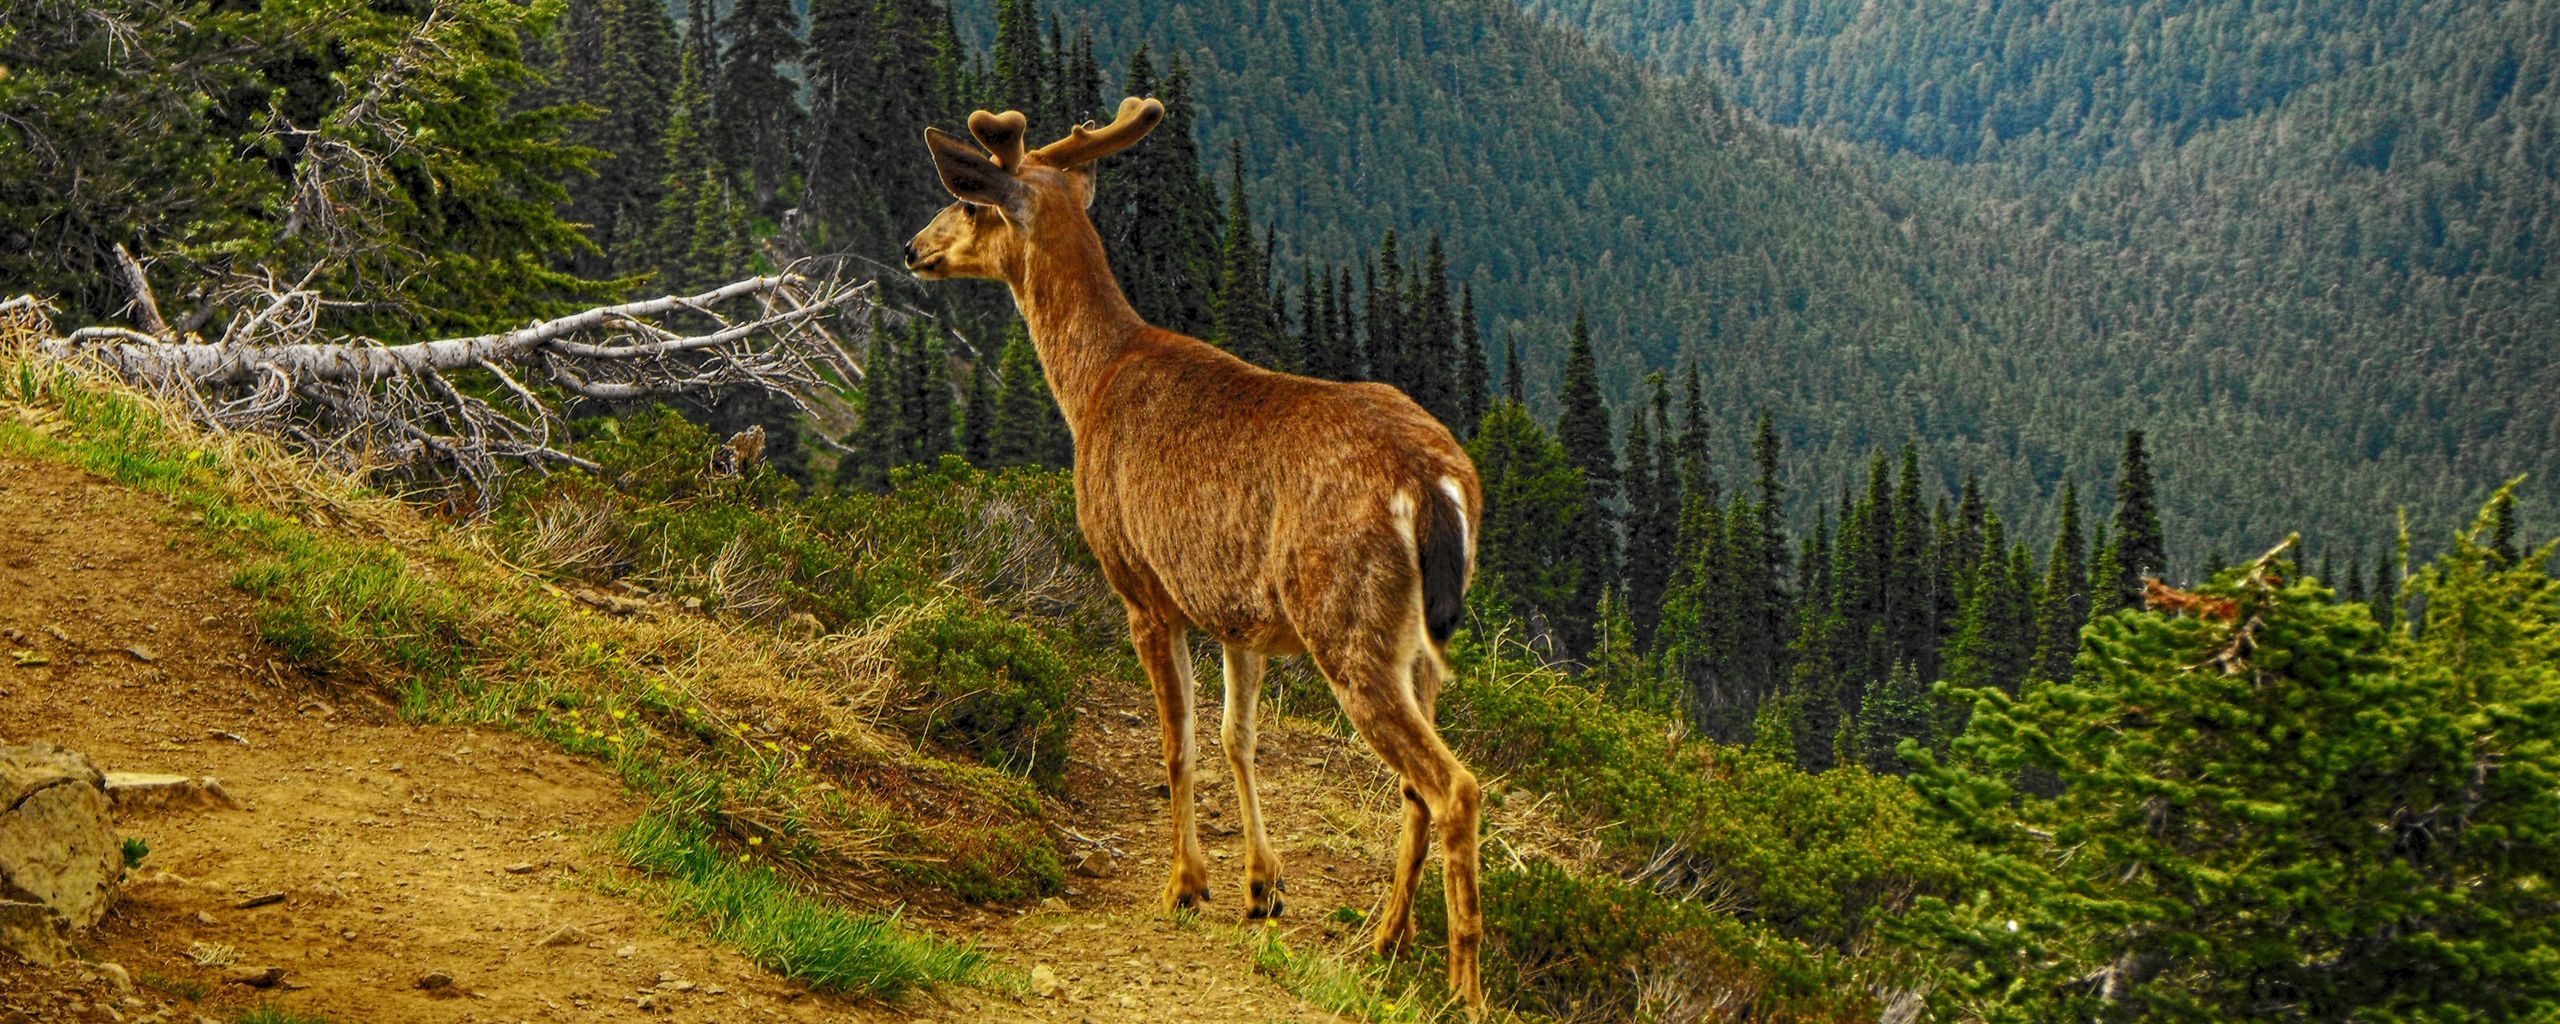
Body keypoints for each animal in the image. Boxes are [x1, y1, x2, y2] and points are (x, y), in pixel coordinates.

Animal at [904, 97, 1489, 1010]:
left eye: (966, 204)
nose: (912, 248)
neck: (1092, 383)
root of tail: (1436, 480)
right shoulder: (1237, 615)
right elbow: (1234, 737)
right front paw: (1261, 888)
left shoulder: (1141, 586)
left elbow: (1176, 741)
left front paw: (1185, 883)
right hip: (1413, 638)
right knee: (1414, 790)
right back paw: (1384, 941)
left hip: (1343, 612)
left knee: (1453, 787)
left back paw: (1461, 987)